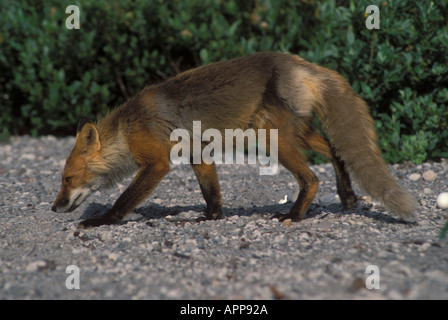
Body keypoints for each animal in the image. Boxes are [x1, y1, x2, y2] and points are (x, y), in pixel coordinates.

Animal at [51, 52, 416, 228]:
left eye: (68, 179)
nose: (54, 208)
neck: (129, 130)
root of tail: (298, 63)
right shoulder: (197, 153)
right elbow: (211, 192)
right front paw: (211, 218)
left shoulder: (157, 162)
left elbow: (124, 199)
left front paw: (102, 221)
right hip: (295, 133)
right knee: (334, 149)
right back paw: (347, 194)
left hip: (270, 137)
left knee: (311, 179)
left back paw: (294, 216)